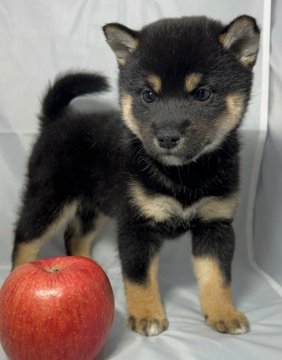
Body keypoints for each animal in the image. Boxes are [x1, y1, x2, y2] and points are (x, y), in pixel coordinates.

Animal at [12, 15, 260, 338]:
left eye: (203, 93)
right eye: (148, 95)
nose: (167, 137)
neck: (184, 175)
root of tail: (57, 120)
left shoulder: (215, 224)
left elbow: (217, 277)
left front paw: (224, 314)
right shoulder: (136, 225)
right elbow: (140, 277)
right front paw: (146, 315)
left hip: (94, 207)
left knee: (74, 235)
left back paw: (87, 265)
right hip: (49, 200)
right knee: (25, 239)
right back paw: (16, 275)